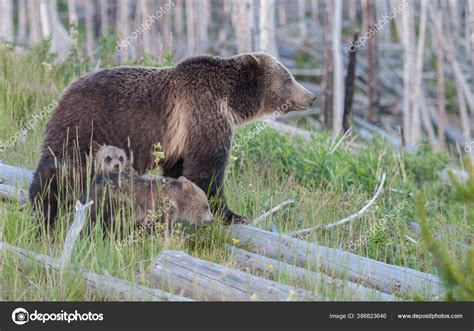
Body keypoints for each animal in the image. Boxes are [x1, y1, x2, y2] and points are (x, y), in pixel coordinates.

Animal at [29, 53, 314, 227]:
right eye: (289, 78)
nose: (311, 96)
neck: (231, 101)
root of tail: (64, 93)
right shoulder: (204, 114)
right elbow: (208, 169)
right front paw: (232, 214)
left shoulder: (182, 138)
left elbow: (181, 168)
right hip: (88, 126)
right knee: (60, 170)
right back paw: (45, 210)